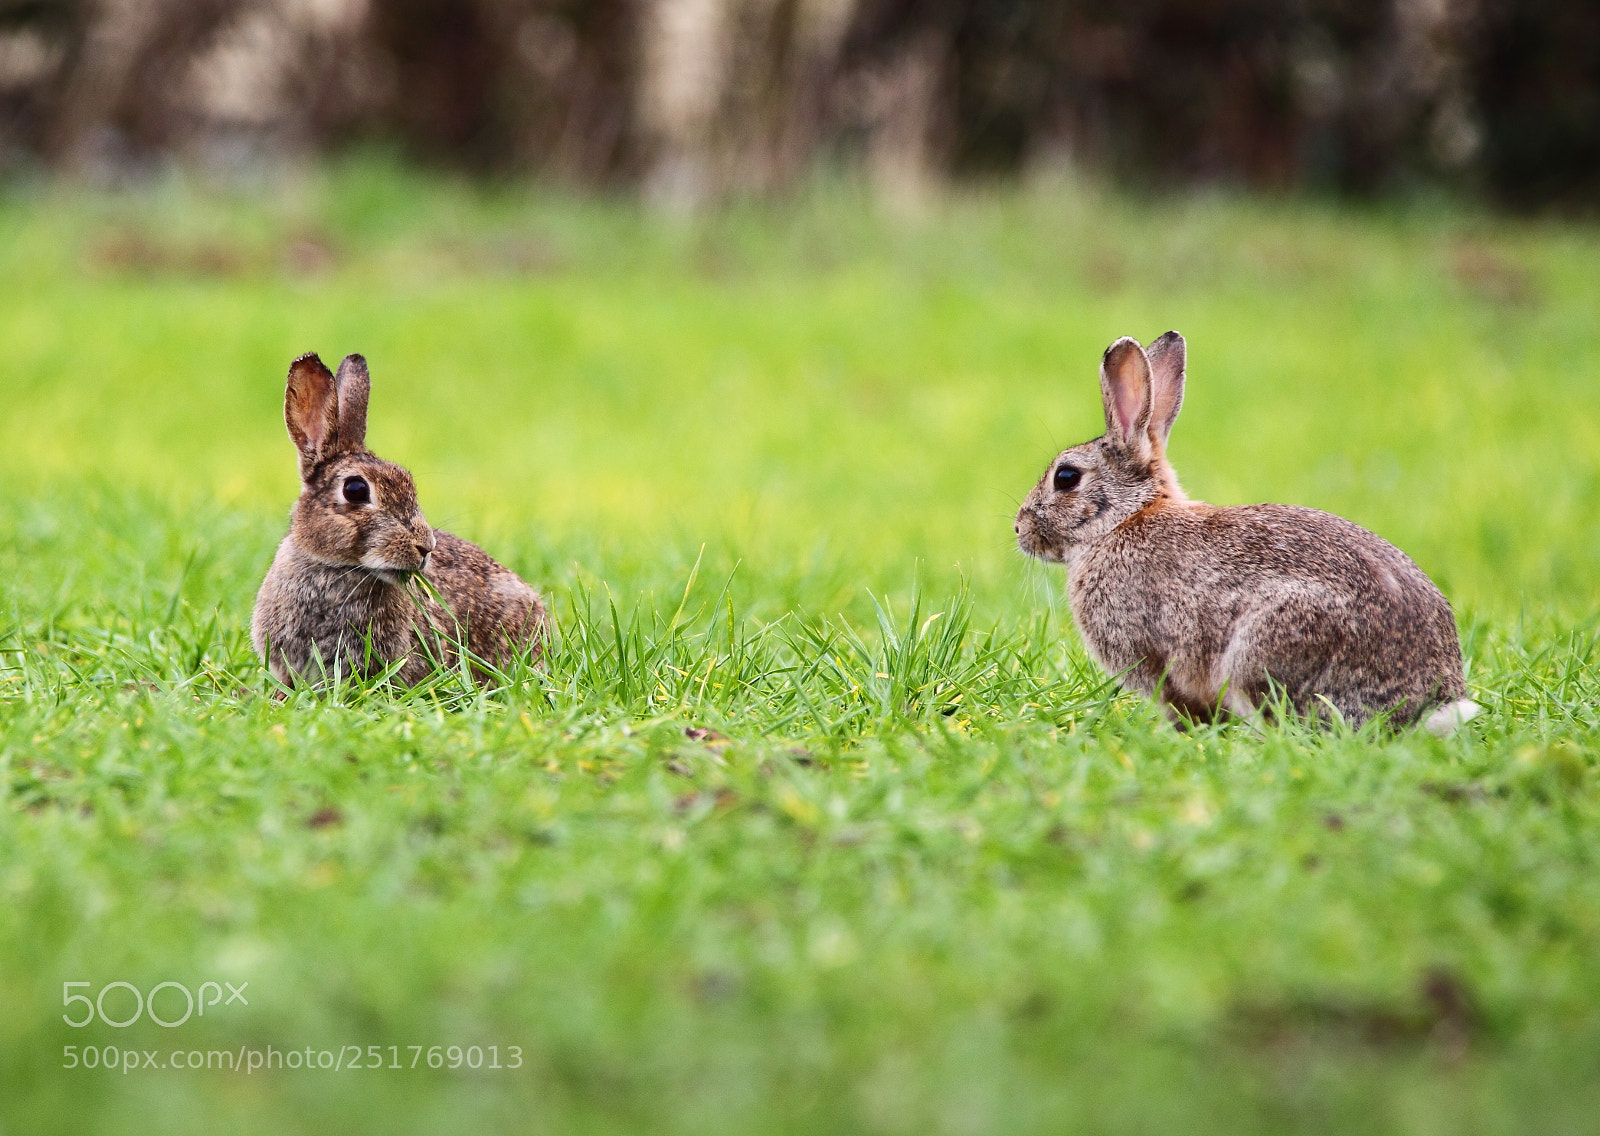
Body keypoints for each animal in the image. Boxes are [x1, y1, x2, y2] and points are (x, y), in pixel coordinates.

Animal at [1015, 331, 1479, 735]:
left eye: (1066, 477)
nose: (1019, 529)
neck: (1125, 519)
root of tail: (1425, 706)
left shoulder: (1155, 660)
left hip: (1262, 652)